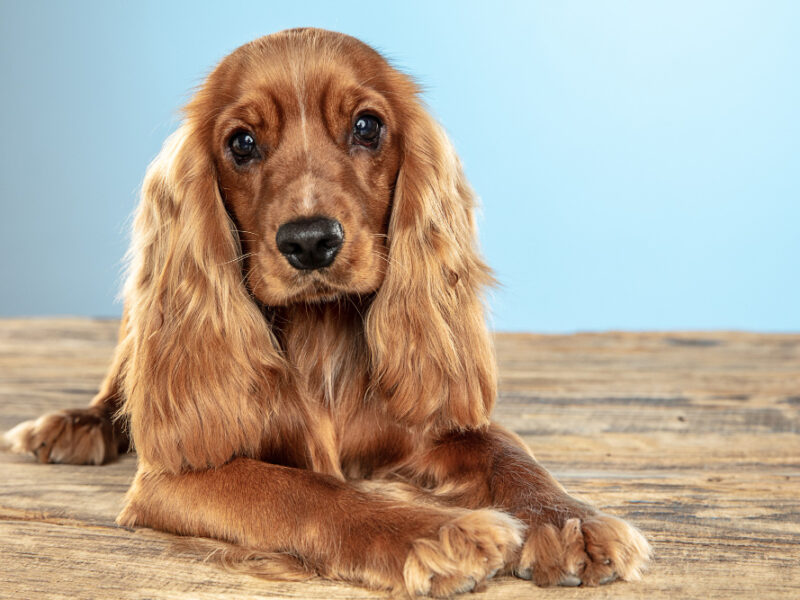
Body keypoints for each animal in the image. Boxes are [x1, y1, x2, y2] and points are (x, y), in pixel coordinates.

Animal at [6, 29, 648, 600]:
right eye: (241, 142)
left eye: (367, 126)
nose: (311, 241)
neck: (321, 336)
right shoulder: (172, 479)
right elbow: (303, 490)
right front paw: (437, 532)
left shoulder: (437, 427)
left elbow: (507, 453)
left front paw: (569, 520)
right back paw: (73, 426)